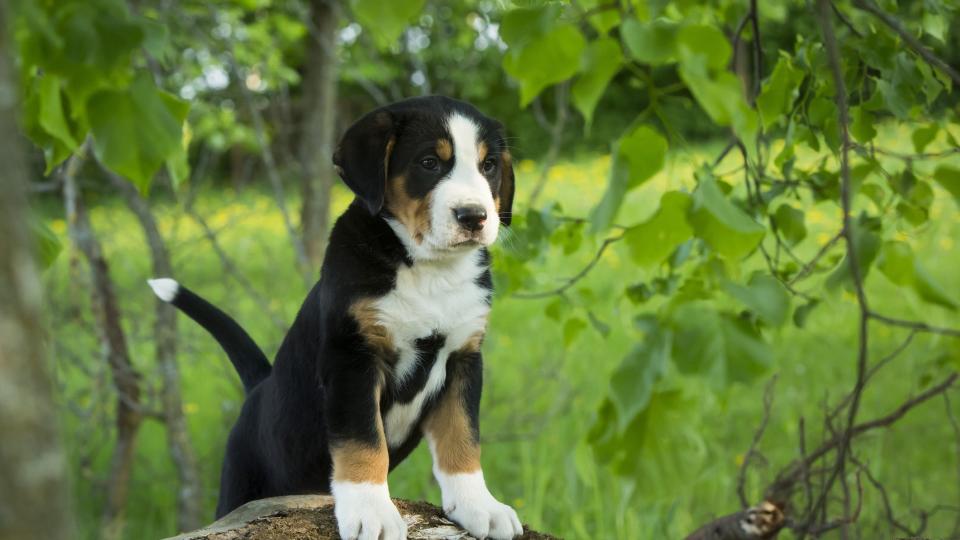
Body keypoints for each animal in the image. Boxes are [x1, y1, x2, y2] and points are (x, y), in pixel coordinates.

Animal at [151, 97, 520, 540]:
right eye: (429, 162)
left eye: (489, 166)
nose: (474, 216)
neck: (429, 271)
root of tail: (260, 386)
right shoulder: (352, 359)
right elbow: (364, 441)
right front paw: (371, 512)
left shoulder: (463, 358)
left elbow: (462, 439)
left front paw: (480, 506)